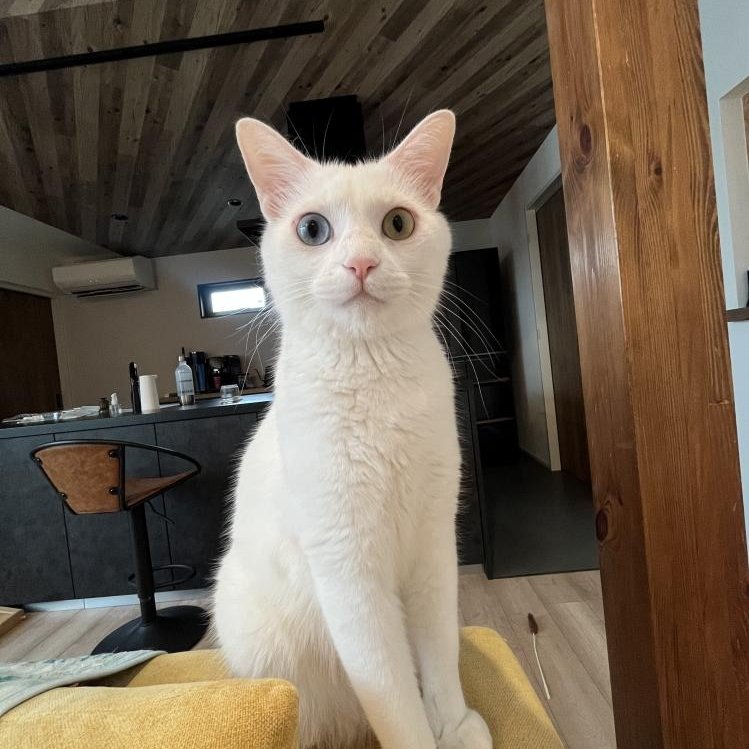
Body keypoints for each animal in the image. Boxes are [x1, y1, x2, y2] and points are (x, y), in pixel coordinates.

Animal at [212, 110, 492, 749]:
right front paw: (421, 736)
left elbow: (439, 657)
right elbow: (392, 694)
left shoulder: (434, 544)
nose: (361, 264)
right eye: (313, 229)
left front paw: (453, 725)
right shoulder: (348, 569)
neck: (374, 379)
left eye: (397, 224)